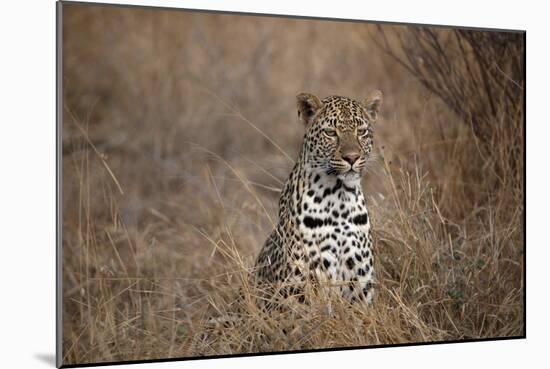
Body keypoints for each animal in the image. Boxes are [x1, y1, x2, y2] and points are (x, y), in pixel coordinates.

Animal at [256, 91, 382, 304]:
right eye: (330, 133)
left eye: (362, 131)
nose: (352, 157)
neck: (339, 199)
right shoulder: (298, 289)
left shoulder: (361, 289)